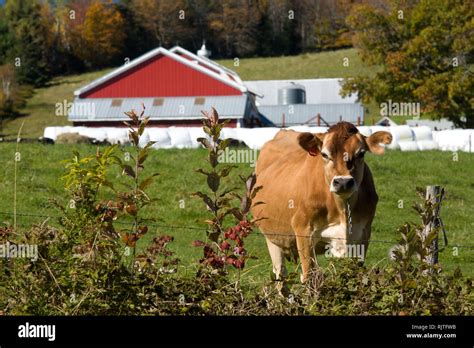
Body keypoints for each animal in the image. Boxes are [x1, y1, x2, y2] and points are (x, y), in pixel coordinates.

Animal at [252, 122, 392, 286]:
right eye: (324, 155)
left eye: (361, 153)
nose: (343, 182)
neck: (342, 209)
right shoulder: (303, 230)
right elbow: (309, 276)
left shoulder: (363, 235)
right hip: (272, 236)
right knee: (280, 274)